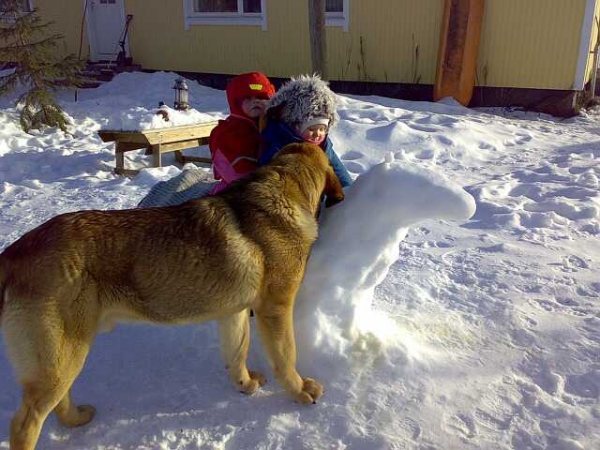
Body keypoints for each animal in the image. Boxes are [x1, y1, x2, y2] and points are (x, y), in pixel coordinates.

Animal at [0, 143, 344, 450]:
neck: (286, 185)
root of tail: (14, 252)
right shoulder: (275, 309)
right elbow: (286, 358)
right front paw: (300, 391)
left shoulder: (233, 314)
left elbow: (237, 355)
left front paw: (245, 385)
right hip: (60, 360)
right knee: (24, 424)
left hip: (63, 357)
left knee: (58, 404)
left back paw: (76, 418)